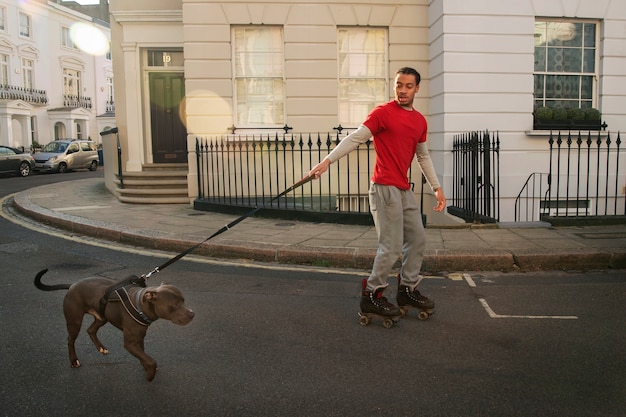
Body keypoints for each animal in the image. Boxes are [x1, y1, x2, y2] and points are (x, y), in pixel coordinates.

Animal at [34, 268, 194, 382]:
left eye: (184, 300)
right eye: (175, 305)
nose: (192, 314)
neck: (140, 304)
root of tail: (72, 285)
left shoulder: (139, 338)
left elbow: (144, 356)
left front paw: (146, 367)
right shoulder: (130, 343)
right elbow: (151, 360)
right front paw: (150, 375)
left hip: (102, 317)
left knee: (90, 330)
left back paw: (101, 348)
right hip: (74, 320)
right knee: (70, 340)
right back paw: (74, 360)